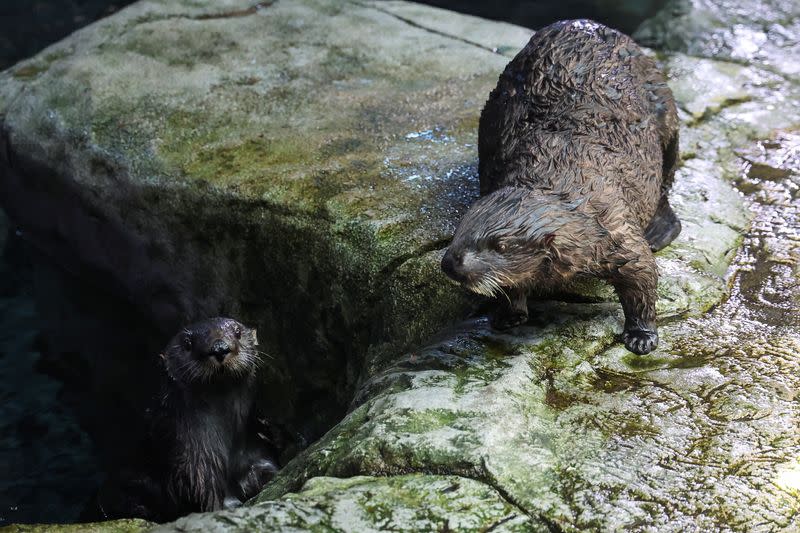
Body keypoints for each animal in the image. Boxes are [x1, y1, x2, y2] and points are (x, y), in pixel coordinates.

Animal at [444, 20, 680, 356]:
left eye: (500, 245)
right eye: (460, 230)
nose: (449, 262)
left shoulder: (616, 229)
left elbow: (643, 277)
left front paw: (641, 336)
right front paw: (507, 315)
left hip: (666, 111)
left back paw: (660, 231)